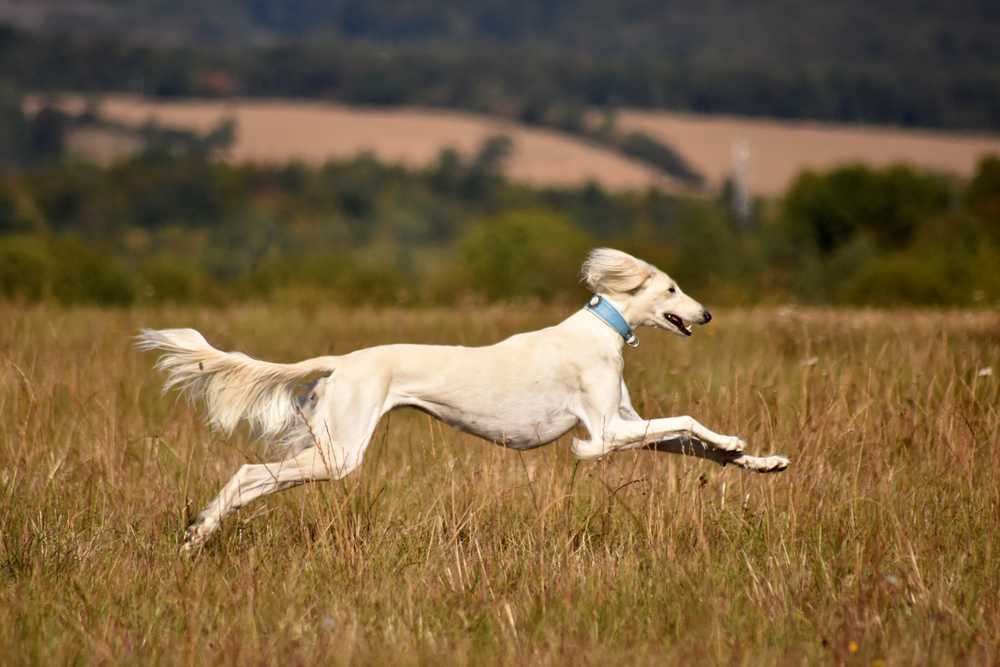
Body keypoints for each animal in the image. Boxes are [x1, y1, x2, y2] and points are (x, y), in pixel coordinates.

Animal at [139, 248, 788, 552]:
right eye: (672, 288)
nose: (707, 314)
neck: (600, 330)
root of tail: (342, 360)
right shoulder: (602, 435)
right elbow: (688, 420)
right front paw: (737, 441)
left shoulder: (627, 425)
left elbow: (692, 443)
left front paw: (760, 461)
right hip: (339, 452)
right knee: (249, 472)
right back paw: (199, 533)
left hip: (328, 448)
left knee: (258, 479)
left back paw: (200, 532)